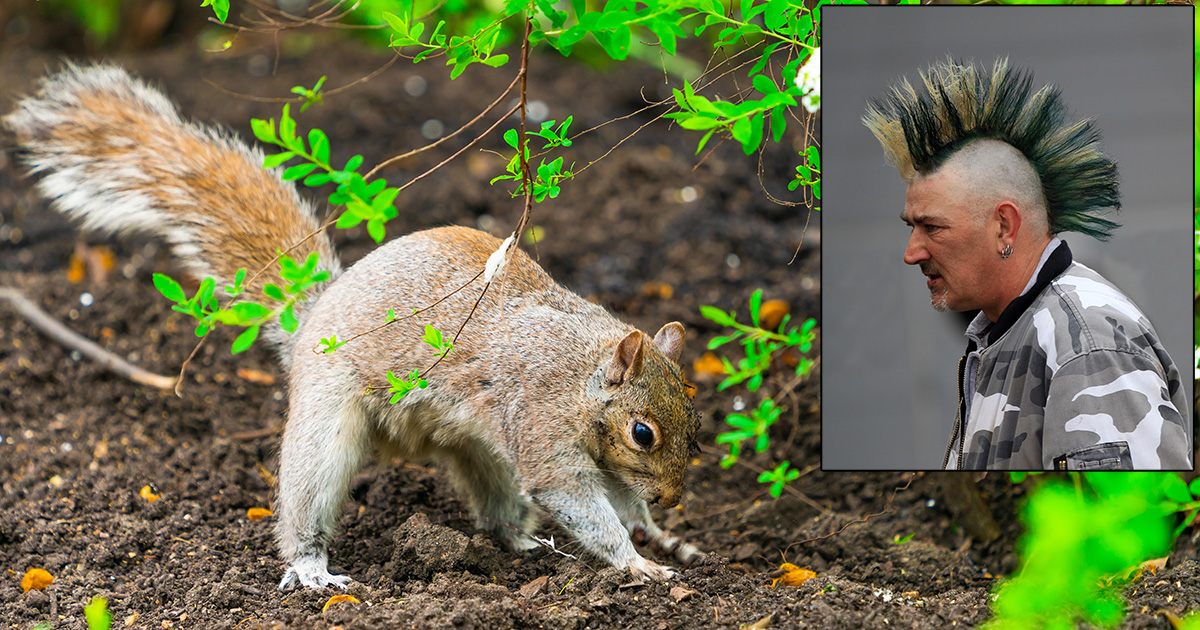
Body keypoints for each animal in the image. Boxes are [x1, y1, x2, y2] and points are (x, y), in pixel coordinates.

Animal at [5, 64, 703, 589]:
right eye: (642, 433)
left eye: (695, 425)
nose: (674, 497)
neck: (583, 371)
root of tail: (313, 318)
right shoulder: (541, 424)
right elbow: (580, 503)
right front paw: (640, 562)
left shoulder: (596, 461)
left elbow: (619, 501)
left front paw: (654, 532)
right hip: (327, 416)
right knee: (308, 496)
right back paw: (313, 568)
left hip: (479, 449)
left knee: (495, 504)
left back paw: (523, 544)